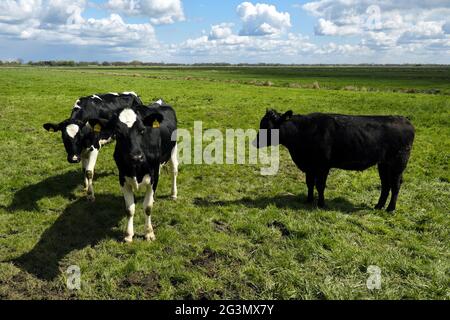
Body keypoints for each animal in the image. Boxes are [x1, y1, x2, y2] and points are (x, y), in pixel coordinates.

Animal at [89, 100, 178, 242]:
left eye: (142, 130)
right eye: (118, 132)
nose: (136, 157)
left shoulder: (153, 177)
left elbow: (147, 207)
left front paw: (149, 233)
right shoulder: (123, 178)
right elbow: (130, 209)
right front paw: (128, 234)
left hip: (173, 150)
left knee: (174, 171)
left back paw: (173, 194)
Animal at [255, 110, 416, 212]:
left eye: (268, 127)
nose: (254, 142)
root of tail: (405, 120)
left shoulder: (323, 165)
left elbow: (320, 185)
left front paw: (321, 204)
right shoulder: (309, 166)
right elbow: (309, 183)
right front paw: (308, 200)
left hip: (398, 163)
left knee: (395, 185)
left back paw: (390, 209)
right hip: (383, 164)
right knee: (385, 184)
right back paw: (379, 206)